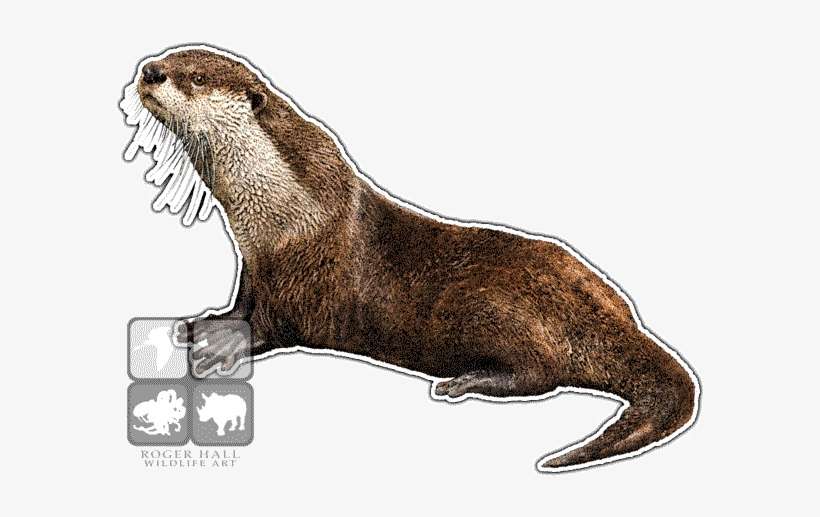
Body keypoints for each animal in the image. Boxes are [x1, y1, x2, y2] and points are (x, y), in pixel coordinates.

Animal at [120, 45, 699, 472]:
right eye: (169, 61)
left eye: (194, 77)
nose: (150, 71)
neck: (285, 211)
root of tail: (609, 319)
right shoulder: (256, 264)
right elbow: (241, 303)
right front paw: (206, 324)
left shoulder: (309, 278)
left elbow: (278, 325)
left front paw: (225, 347)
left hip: (486, 306)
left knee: (543, 373)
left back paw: (466, 381)